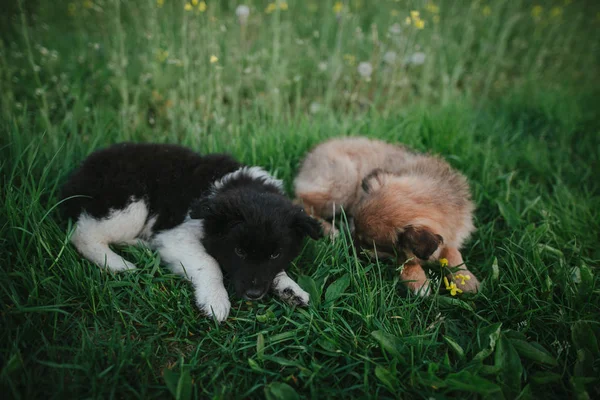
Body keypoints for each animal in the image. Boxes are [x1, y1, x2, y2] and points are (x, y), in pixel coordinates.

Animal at [60, 144, 322, 322]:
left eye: (275, 254)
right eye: (238, 251)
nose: (254, 294)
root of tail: (78, 175)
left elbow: (274, 270)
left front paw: (290, 288)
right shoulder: (177, 236)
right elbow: (209, 263)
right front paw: (216, 300)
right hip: (131, 202)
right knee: (83, 235)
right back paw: (119, 264)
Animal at [292, 138, 480, 296]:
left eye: (368, 245)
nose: (349, 246)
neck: (438, 199)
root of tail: (311, 155)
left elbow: (453, 252)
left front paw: (465, 279)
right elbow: (406, 261)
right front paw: (418, 282)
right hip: (343, 184)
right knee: (301, 202)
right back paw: (328, 229)